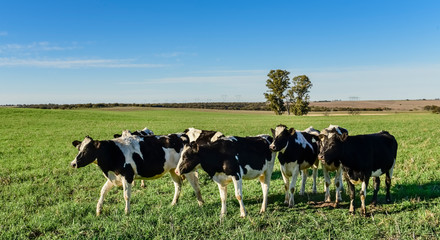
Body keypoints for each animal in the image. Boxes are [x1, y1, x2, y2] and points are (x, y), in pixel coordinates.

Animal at [71, 131, 205, 216]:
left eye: (87, 150)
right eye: (79, 149)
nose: (73, 163)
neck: (113, 152)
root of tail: (182, 135)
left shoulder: (127, 176)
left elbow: (126, 195)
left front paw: (127, 212)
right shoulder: (114, 177)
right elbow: (103, 191)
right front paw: (99, 211)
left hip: (188, 170)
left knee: (195, 186)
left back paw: (201, 204)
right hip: (173, 170)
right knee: (178, 185)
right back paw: (173, 203)